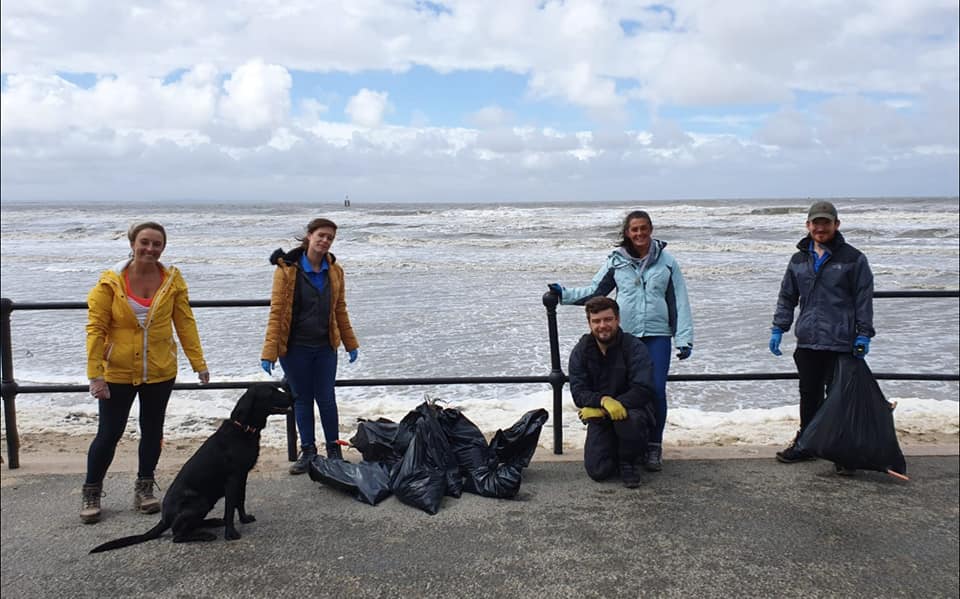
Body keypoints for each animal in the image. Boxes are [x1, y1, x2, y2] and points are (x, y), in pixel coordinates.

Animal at [92, 382, 290, 556]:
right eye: (271, 392)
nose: (293, 395)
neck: (243, 429)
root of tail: (165, 518)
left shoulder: (242, 476)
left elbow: (239, 502)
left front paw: (244, 519)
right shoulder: (233, 479)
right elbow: (229, 508)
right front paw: (231, 534)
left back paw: (212, 522)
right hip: (199, 502)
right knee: (177, 535)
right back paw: (205, 535)